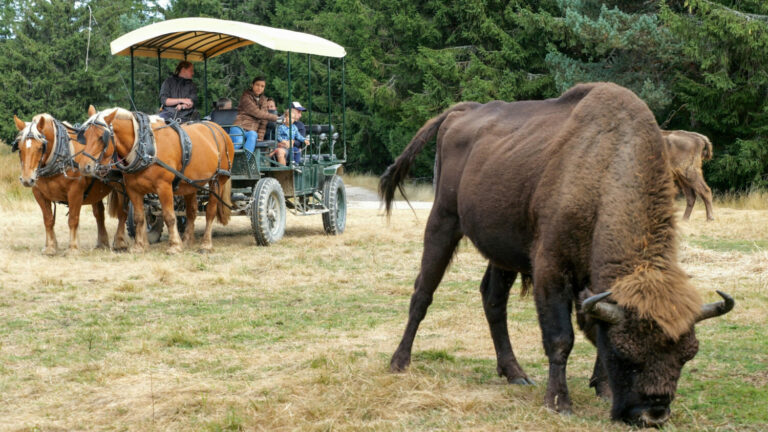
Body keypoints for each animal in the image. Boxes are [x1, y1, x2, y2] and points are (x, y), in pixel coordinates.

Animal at [380, 82, 733, 426]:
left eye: (688, 354)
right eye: (625, 353)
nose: (652, 414)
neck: (605, 169)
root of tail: (461, 111)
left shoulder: (591, 286)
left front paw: (603, 389)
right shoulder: (551, 271)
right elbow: (561, 338)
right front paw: (559, 403)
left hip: (502, 252)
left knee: (493, 300)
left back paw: (516, 374)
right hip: (443, 221)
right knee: (423, 293)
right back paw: (399, 362)